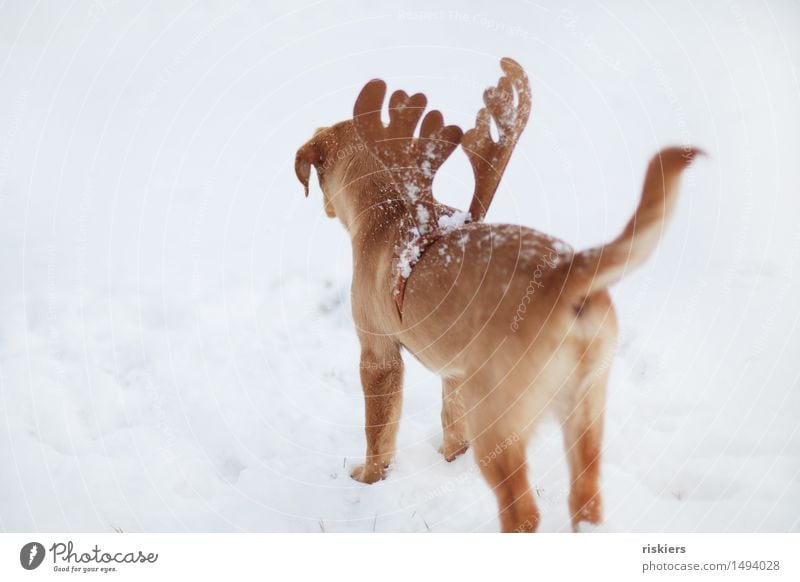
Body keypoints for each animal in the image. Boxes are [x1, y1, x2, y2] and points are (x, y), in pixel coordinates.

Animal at [296, 58, 700, 532]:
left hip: (499, 418)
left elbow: (377, 434)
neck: (392, 210)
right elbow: (451, 423)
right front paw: (450, 458)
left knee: (523, 513)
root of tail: (566, 272)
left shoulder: (379, 355)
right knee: (586, 505)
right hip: (585, 411)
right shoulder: (454, 374)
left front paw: (368, 479)